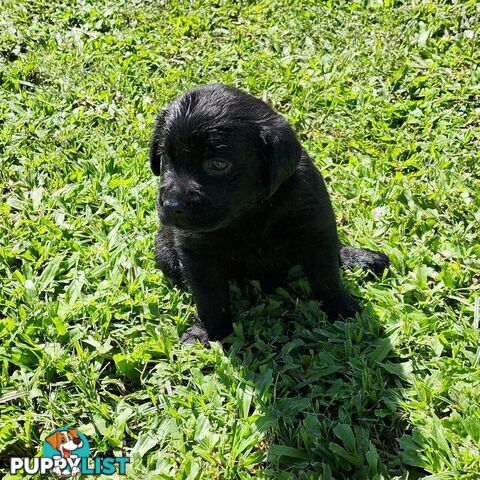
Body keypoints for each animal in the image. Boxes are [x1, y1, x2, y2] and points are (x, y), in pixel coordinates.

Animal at [151, 83, 390, 344]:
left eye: (218, 164)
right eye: (165, 157)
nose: (171, 205)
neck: (251, 211)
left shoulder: (315, 226)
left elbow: (327, 277)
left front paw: (341, 309)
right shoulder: (197, 252)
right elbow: (210, 298)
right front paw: (209, 332)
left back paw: (359, 257)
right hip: (164, 251)